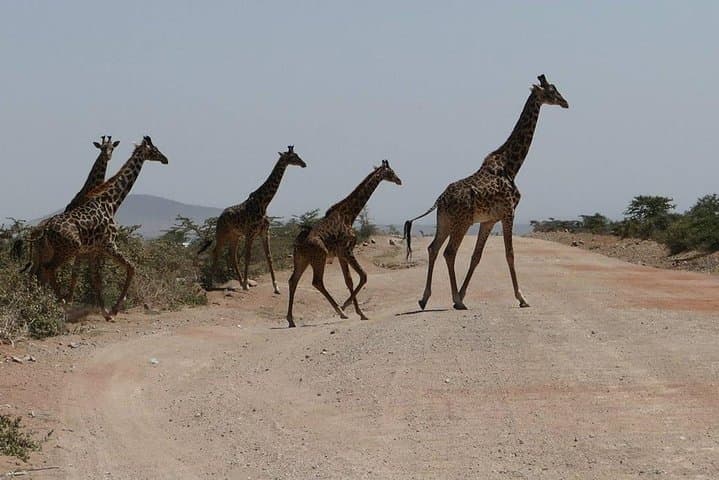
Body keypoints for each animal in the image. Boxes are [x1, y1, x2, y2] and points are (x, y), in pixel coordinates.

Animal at [36, 136, 168, 319]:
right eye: (154, 149)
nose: (166, 159)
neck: (112, 201)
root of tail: (46, 229)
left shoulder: (94, 249)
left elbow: (96, 279)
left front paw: (105, 312)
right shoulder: (109, 244)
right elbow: (131, 267)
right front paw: (113, 310)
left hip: (59, 250)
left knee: (42, 272)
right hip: (69, 248)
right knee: (48, 269)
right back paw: (61, 304)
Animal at [198, 146, 306, 294]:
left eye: (297, 155)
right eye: (293, 156)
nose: (304, 164)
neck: (264, 203)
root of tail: (220, 216)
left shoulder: (265, 232)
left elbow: (269, 257)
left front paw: (276, 287)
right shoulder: (250, 233)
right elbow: (248, 256)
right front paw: (246, 284)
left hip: (235, 235)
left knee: (232, 255)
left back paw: (239, 281)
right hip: (222, 233)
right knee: (216, 252)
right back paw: (210, 283)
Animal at [286, 160, 402, 328]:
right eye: (391, 172)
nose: (399, 180)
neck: (349, 215)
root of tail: (298, 244)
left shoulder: (341, 254)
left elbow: (349, 281)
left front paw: (358, 312)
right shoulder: (347, 250)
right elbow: (363, 276)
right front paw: (351, 308)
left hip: (302, 259)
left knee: (293, 281)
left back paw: (291, 320)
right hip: (319, 257)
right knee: (317, 281)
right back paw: (340, 311)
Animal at [404, 74, 568, 311]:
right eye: (551, 91)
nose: (566, 102)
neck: (512, 165)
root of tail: (439, 200)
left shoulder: (489, 220)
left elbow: (477, 256)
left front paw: (463, 294)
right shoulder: (509, 213)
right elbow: (510, 254)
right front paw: (522, 298)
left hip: (444, 221)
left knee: (433, 248)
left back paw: (425, 298)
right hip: (461, 222)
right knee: (449, 252)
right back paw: (455, 300)